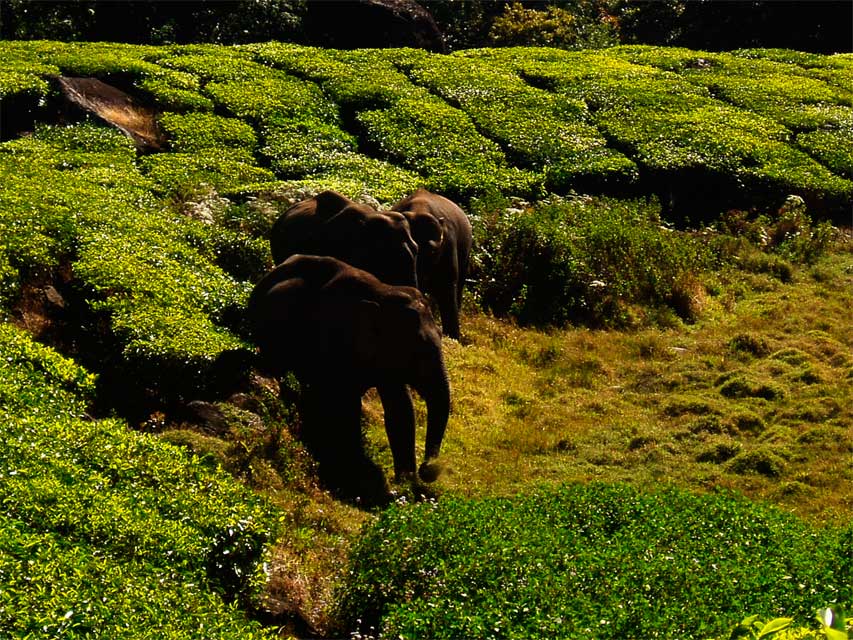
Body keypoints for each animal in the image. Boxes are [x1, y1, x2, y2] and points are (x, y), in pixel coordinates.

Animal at [246, 252, 450, 492]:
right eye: (418, 350)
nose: (429, 468)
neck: (383, 292)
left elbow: (400, 409)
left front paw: (407, 485)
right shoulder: (333, 339)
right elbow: (344, 402)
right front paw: (353, 473)